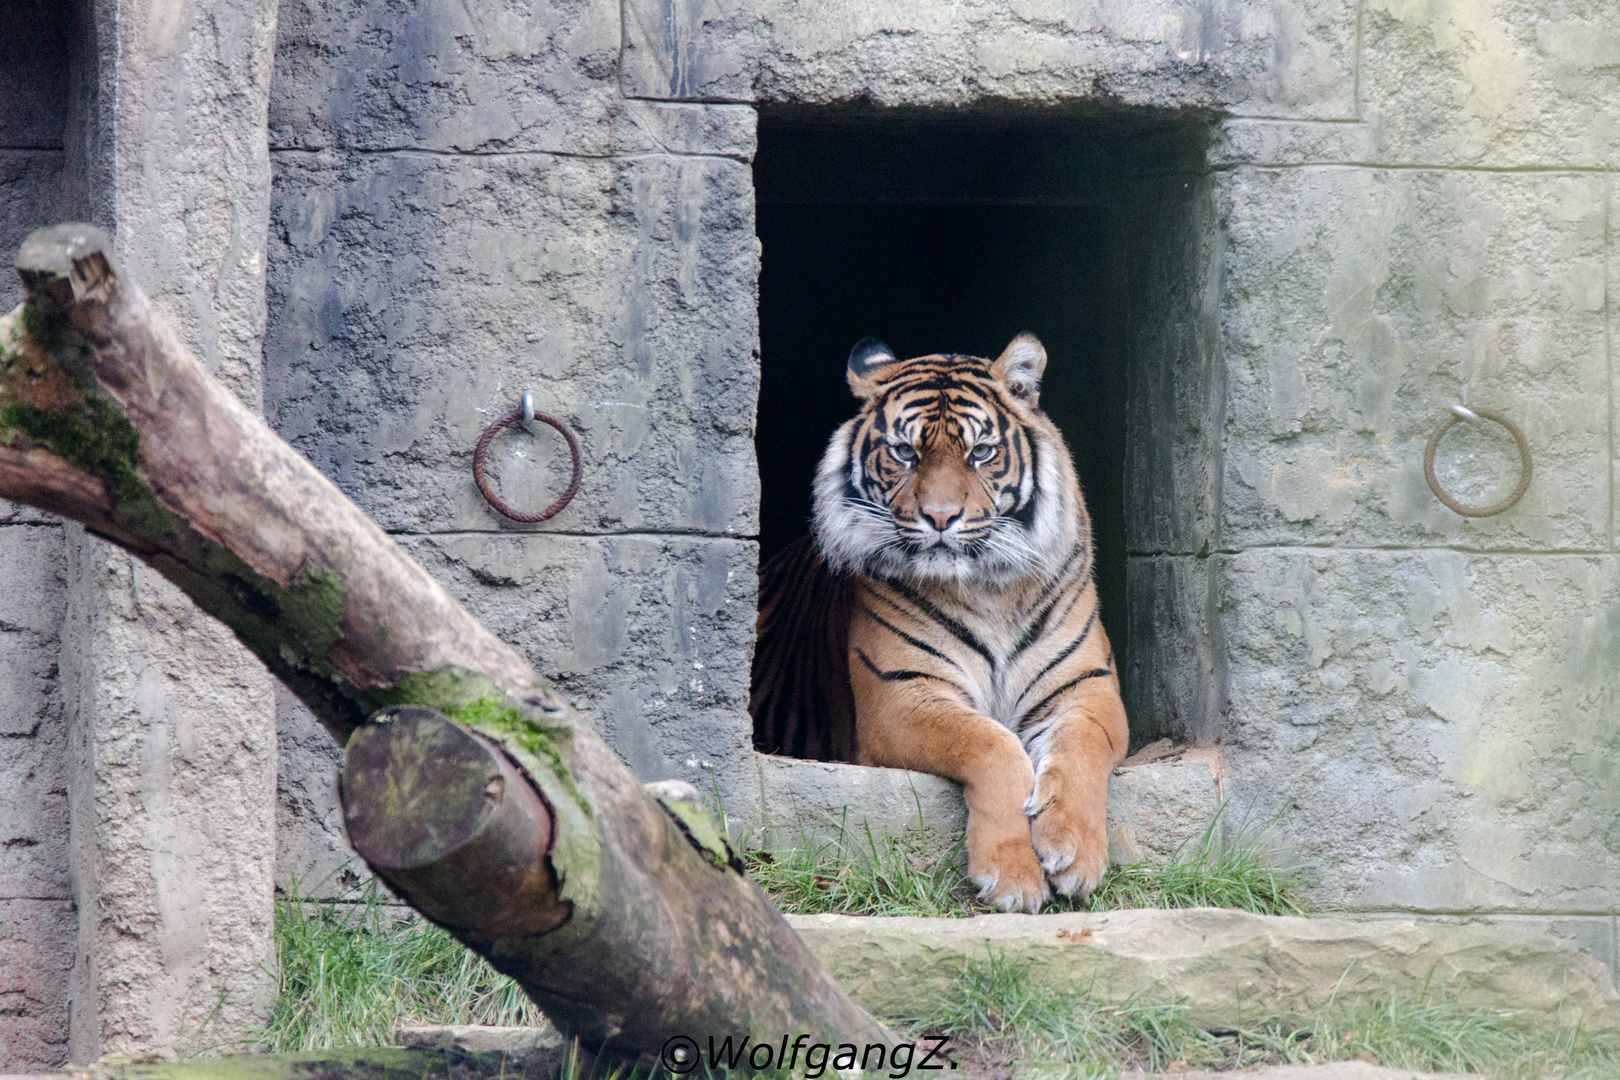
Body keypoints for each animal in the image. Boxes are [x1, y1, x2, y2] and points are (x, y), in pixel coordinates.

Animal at [748, 331, 1121, 913]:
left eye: (981, 452)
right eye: (906, 453)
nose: (941, 517)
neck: (990, 589)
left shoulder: (1089, 689)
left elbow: (1083, 747)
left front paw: (1075, 854)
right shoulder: (900, 698)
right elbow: (990, 744)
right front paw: (1013, 876)